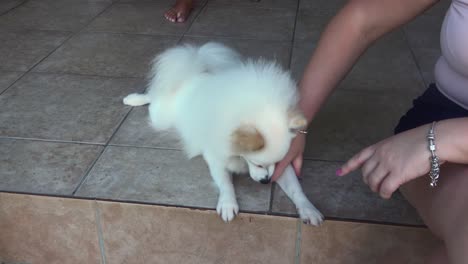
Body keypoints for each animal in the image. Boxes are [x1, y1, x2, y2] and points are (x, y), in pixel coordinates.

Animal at [122, 41, 324, 225]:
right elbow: (226, 183)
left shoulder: (284, 167)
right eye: (257, 164)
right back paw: (133, 99)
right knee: (153, 96)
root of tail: (192, 75)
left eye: (277, 163)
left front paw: (308, 209)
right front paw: (227, 204)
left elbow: (296, 190)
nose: (266, 181)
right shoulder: (216, 158)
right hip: (160, 116)